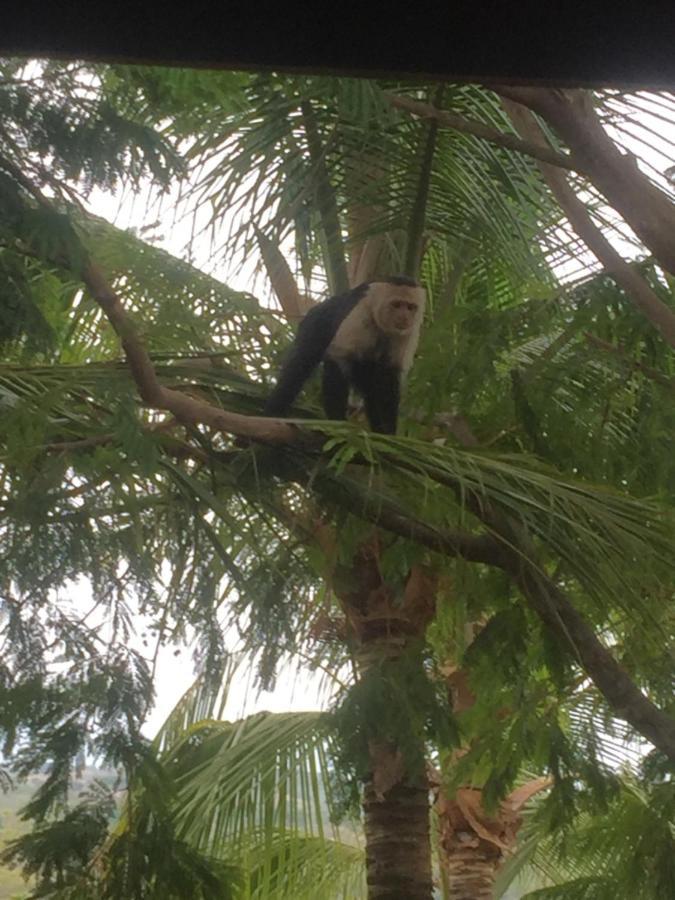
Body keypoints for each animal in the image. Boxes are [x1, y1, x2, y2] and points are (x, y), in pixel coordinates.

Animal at [266, 278, 428, 436]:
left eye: (411, 307)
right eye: (396, 304)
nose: (405, 317)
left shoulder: (408, 332)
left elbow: (388, 376)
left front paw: (387, 434)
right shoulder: (361, 312)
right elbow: (338, 358)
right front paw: (337, 424)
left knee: (372, 379)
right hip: (317, 320)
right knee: (302, 361)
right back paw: (274, 410)